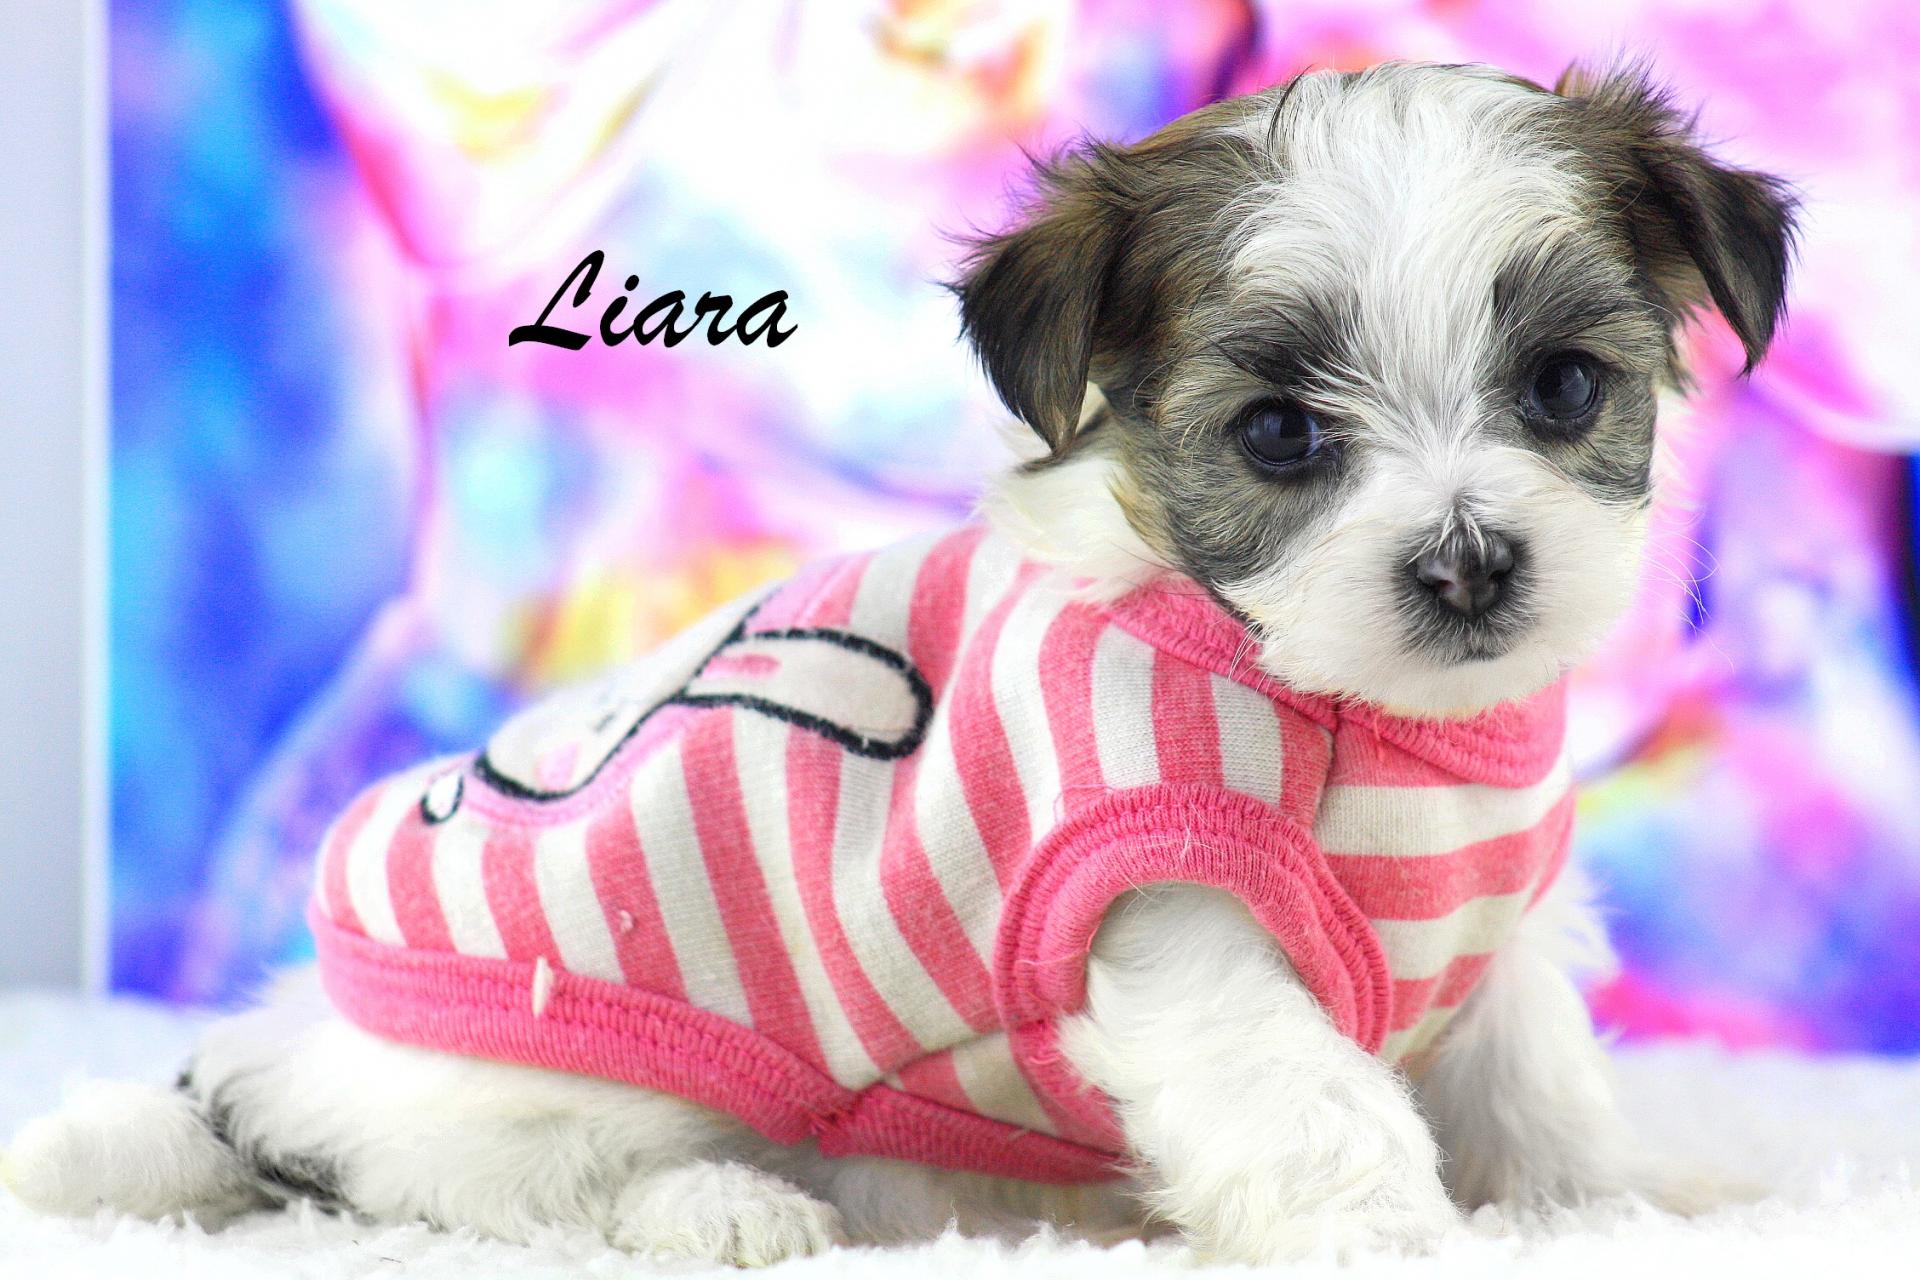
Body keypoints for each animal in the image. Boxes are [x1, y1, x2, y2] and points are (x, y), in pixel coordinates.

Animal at [5, 60, 1795, 1266]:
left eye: (1564, 388)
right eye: (1281, 436)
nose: (1470, 559)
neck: (1365, 719)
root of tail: (282, 1046)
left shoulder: (1493, 926)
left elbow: (1535, 1078)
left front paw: (1614, 1202)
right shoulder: (1168, 901)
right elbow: (1307, 1099)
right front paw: (1392, 1238)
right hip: (558, 1057)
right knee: (499, 1181)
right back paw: (728, 1206)